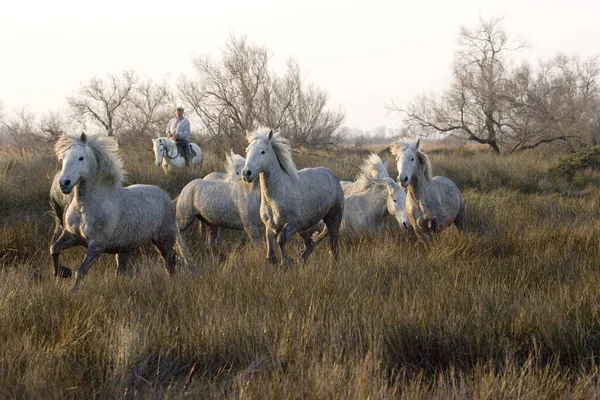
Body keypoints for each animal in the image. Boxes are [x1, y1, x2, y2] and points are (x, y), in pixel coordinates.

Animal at [51, 133, 193, 290]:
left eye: (81, 158)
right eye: (63, 157)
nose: (64, 183)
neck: (84, 207)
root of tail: (165, 196)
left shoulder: (96, 245)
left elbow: (81, 271)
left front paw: (72, 289)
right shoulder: (72, 236)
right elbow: (54, 248)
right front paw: (62, 273)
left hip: (163, 239)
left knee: (170, 258)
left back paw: (171, 281)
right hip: (125, 247)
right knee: (122, 269)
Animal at [239, 128, 342, 266]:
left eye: (263, 151)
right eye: (247, 150)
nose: (246, 173)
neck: (275, 196)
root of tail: (332, 175)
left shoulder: (293, 223)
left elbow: (281, 239)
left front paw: (286, 262)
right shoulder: (271, 226)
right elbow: (270, 252)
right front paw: (279, 261)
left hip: (333, 218)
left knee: (333, 246)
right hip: (304, 228)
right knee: (311, 244)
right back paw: (301, 260)